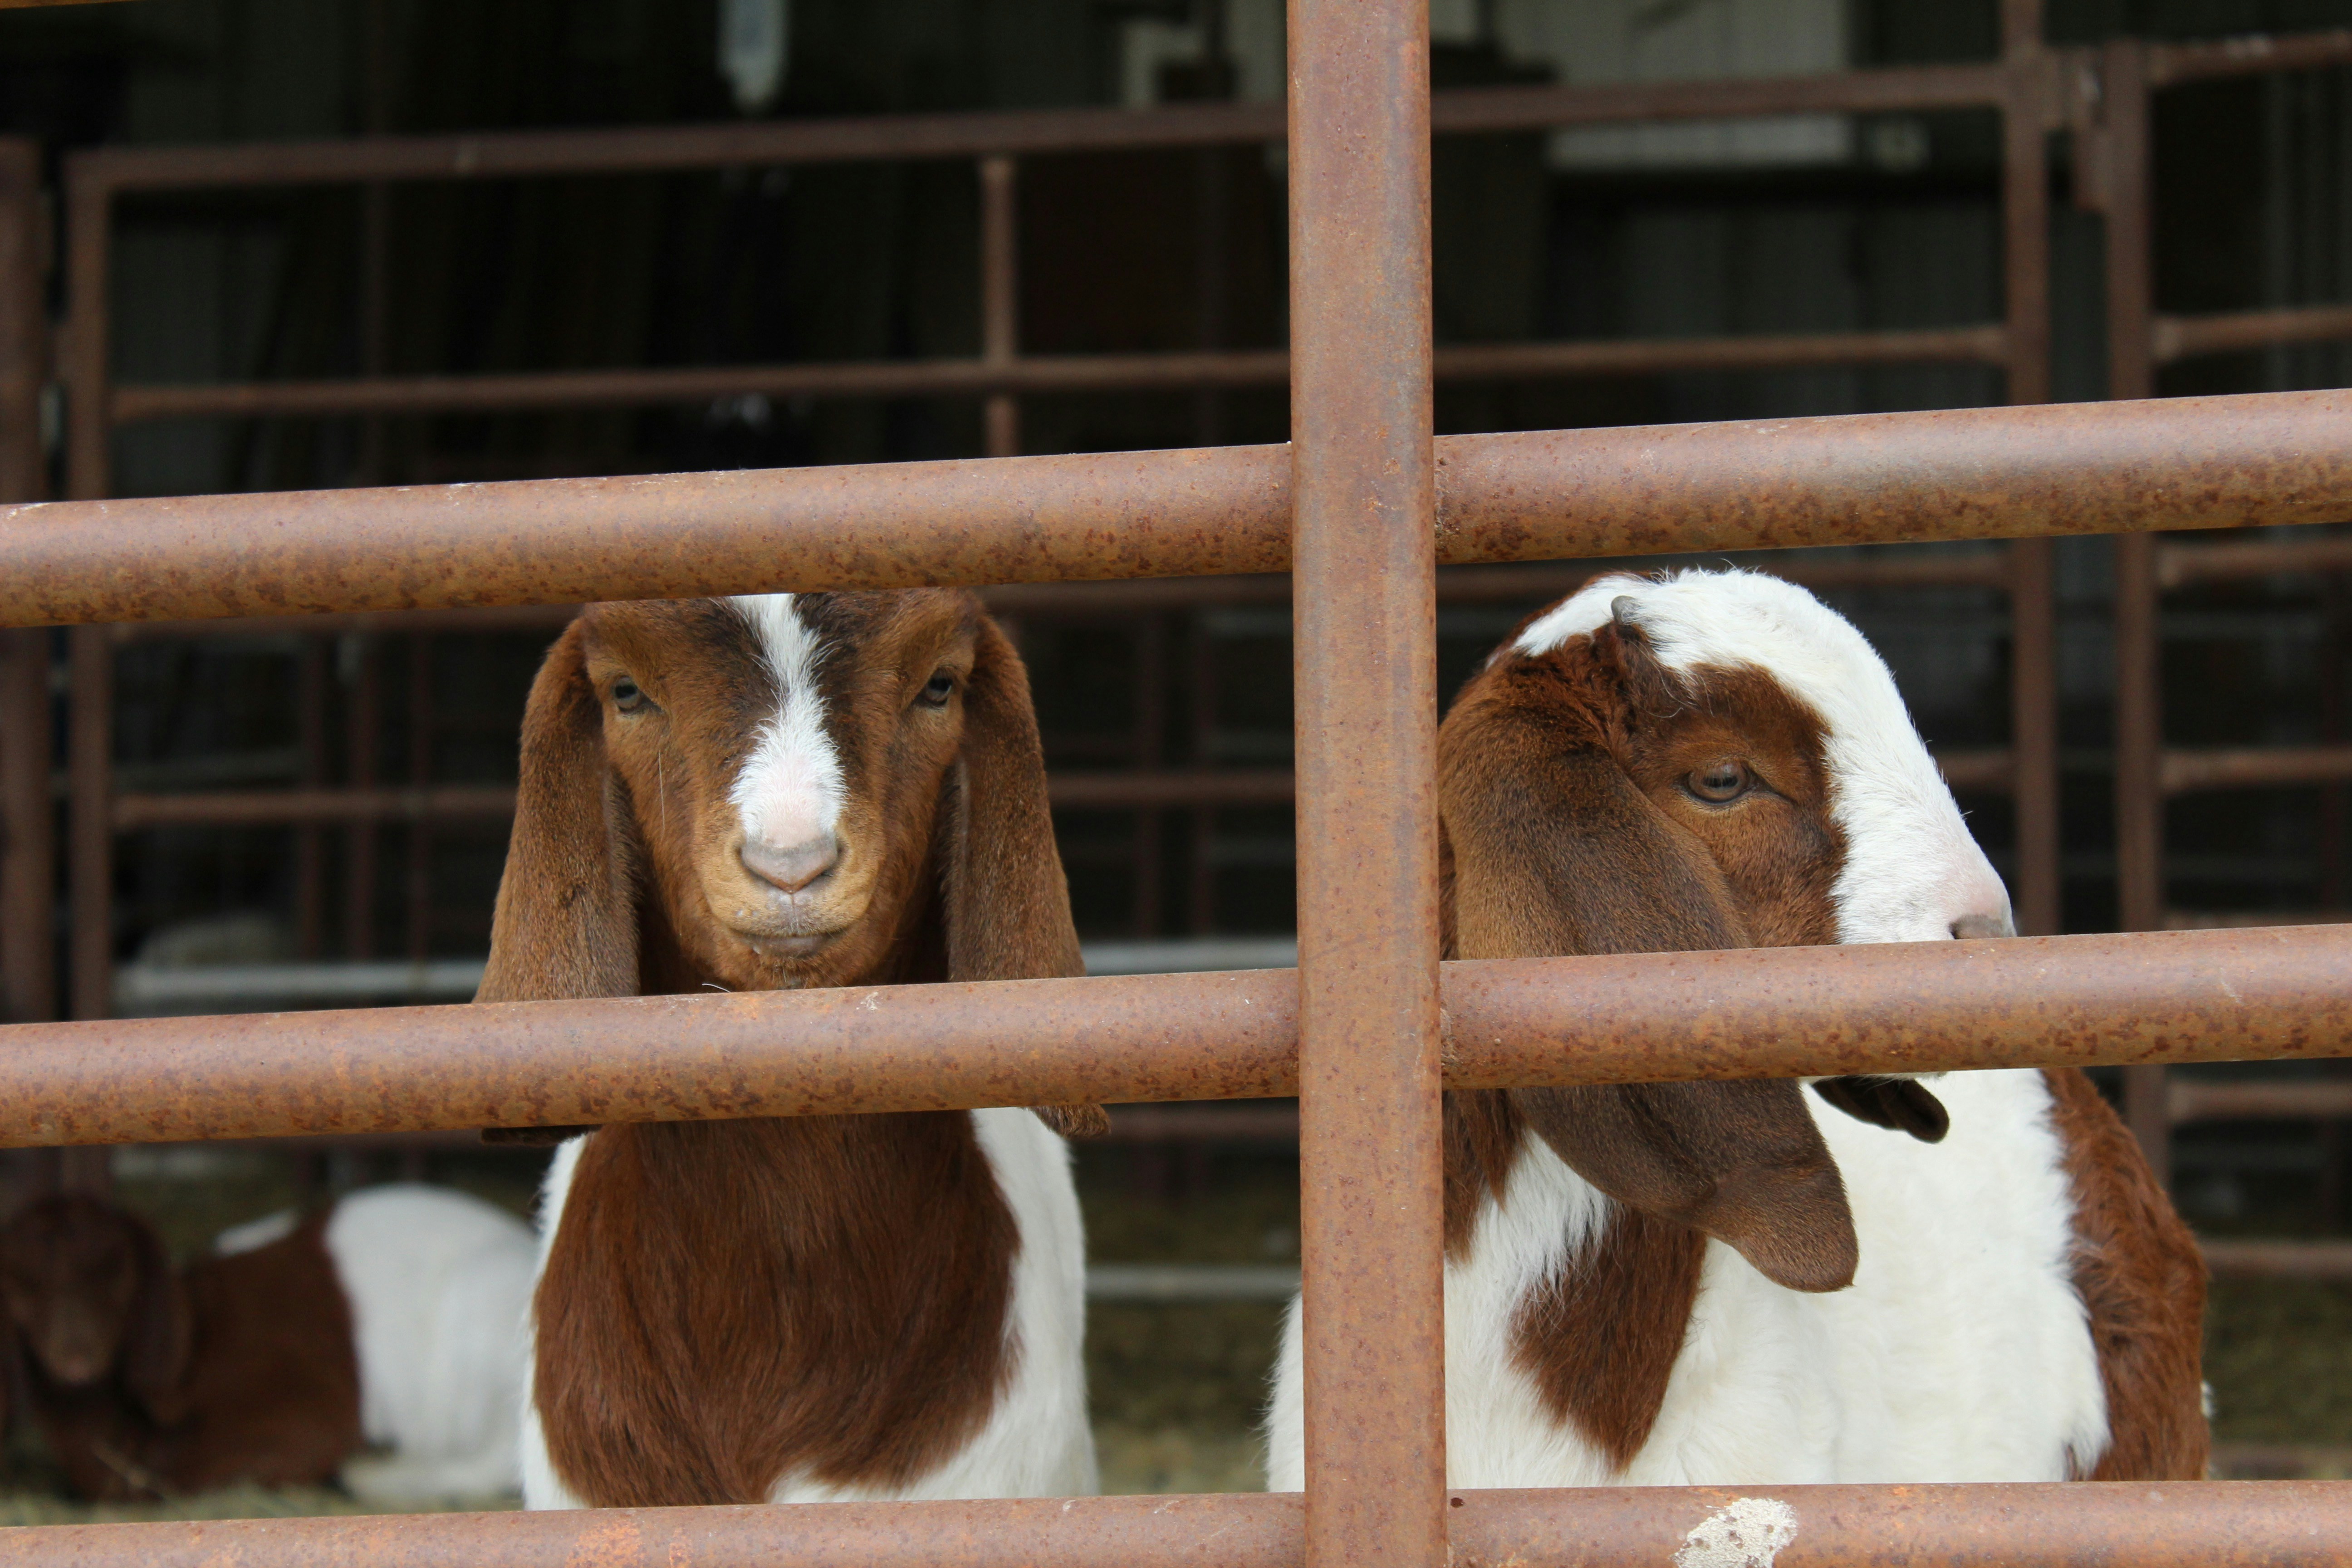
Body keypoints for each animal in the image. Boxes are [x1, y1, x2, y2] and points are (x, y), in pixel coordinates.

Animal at [0, 1183, 535, 1501]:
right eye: (21, 1285)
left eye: (118, 1274)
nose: (76, 1355)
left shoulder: (308, 1413)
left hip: (486, 1312)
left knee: (497, 1457)